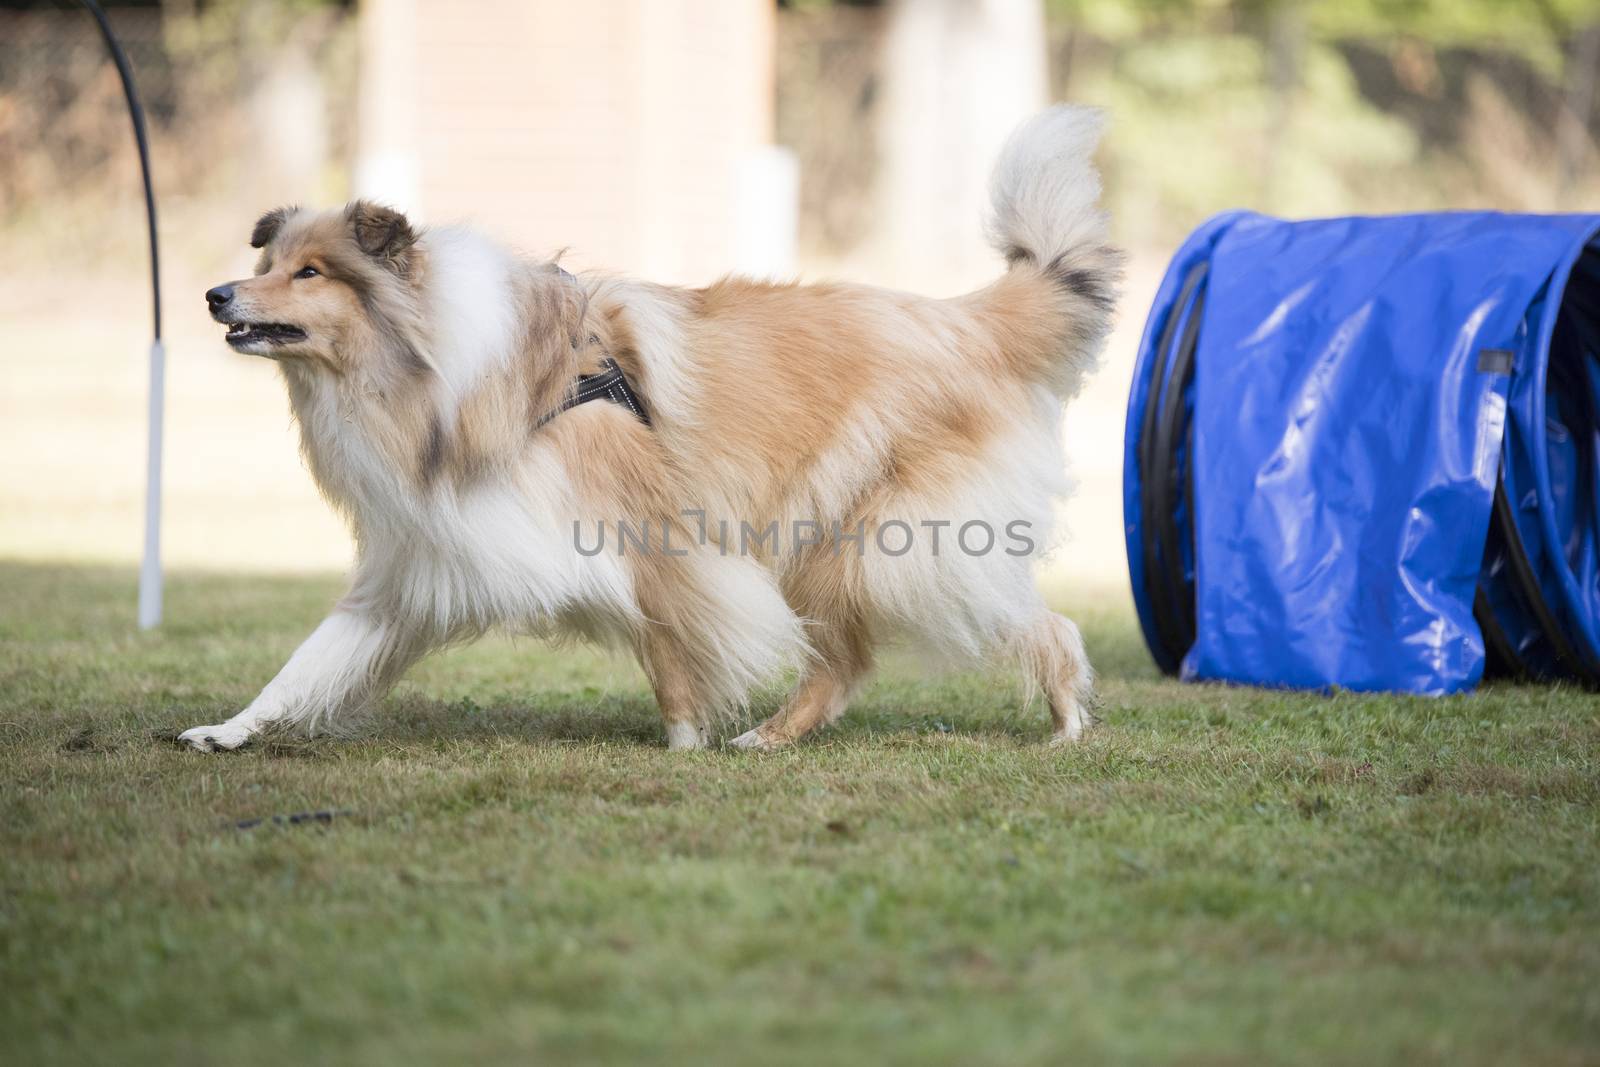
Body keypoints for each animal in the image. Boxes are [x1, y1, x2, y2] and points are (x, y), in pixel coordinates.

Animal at [181, 106, 1120, 751]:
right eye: (269, 262)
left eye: (311, 273)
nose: (216, 294)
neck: (431, 371)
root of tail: (964, 317)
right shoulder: (424, 556)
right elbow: (310, 661)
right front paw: (228, 730)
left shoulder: (655, 538)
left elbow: (669, 650)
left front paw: (682, 743)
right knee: (852, 662)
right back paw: (773, 736)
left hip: (870, 539)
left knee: (1033, 627)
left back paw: (1066, 725)